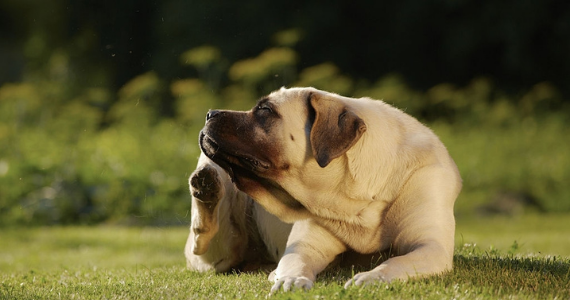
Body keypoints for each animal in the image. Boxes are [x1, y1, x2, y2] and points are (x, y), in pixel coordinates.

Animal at [193, 85, 460, 292]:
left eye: (265, 110)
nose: (209, 113)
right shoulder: (305, 246)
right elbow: (296, 262)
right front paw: (291, 279)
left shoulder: (430, 246)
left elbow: (395, 262)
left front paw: (372, 277)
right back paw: (206, 187)